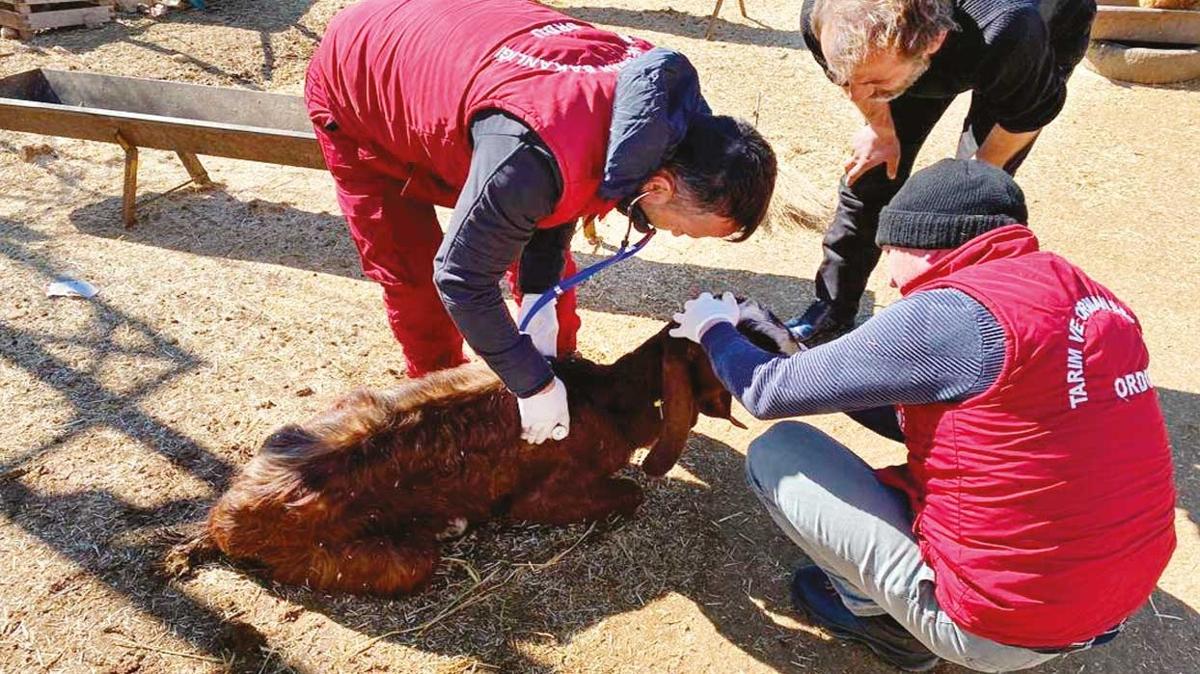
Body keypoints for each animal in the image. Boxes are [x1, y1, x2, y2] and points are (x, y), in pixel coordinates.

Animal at [166, 298, 796, 592]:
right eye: (743, 338)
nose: (798, 353)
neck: (605, 397)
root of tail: (220, 521)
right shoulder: (540, 498)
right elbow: (627, 493)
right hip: (389, 562)